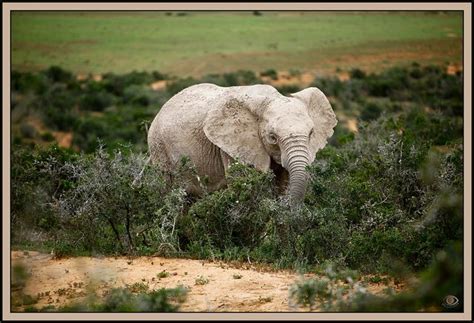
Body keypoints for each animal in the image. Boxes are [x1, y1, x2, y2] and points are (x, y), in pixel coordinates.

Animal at [148, 83, 336, 205]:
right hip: (159, 148)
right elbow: (245, 191)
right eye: (272, 137)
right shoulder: (232, 145)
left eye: (311, 133)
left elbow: (283, 184)